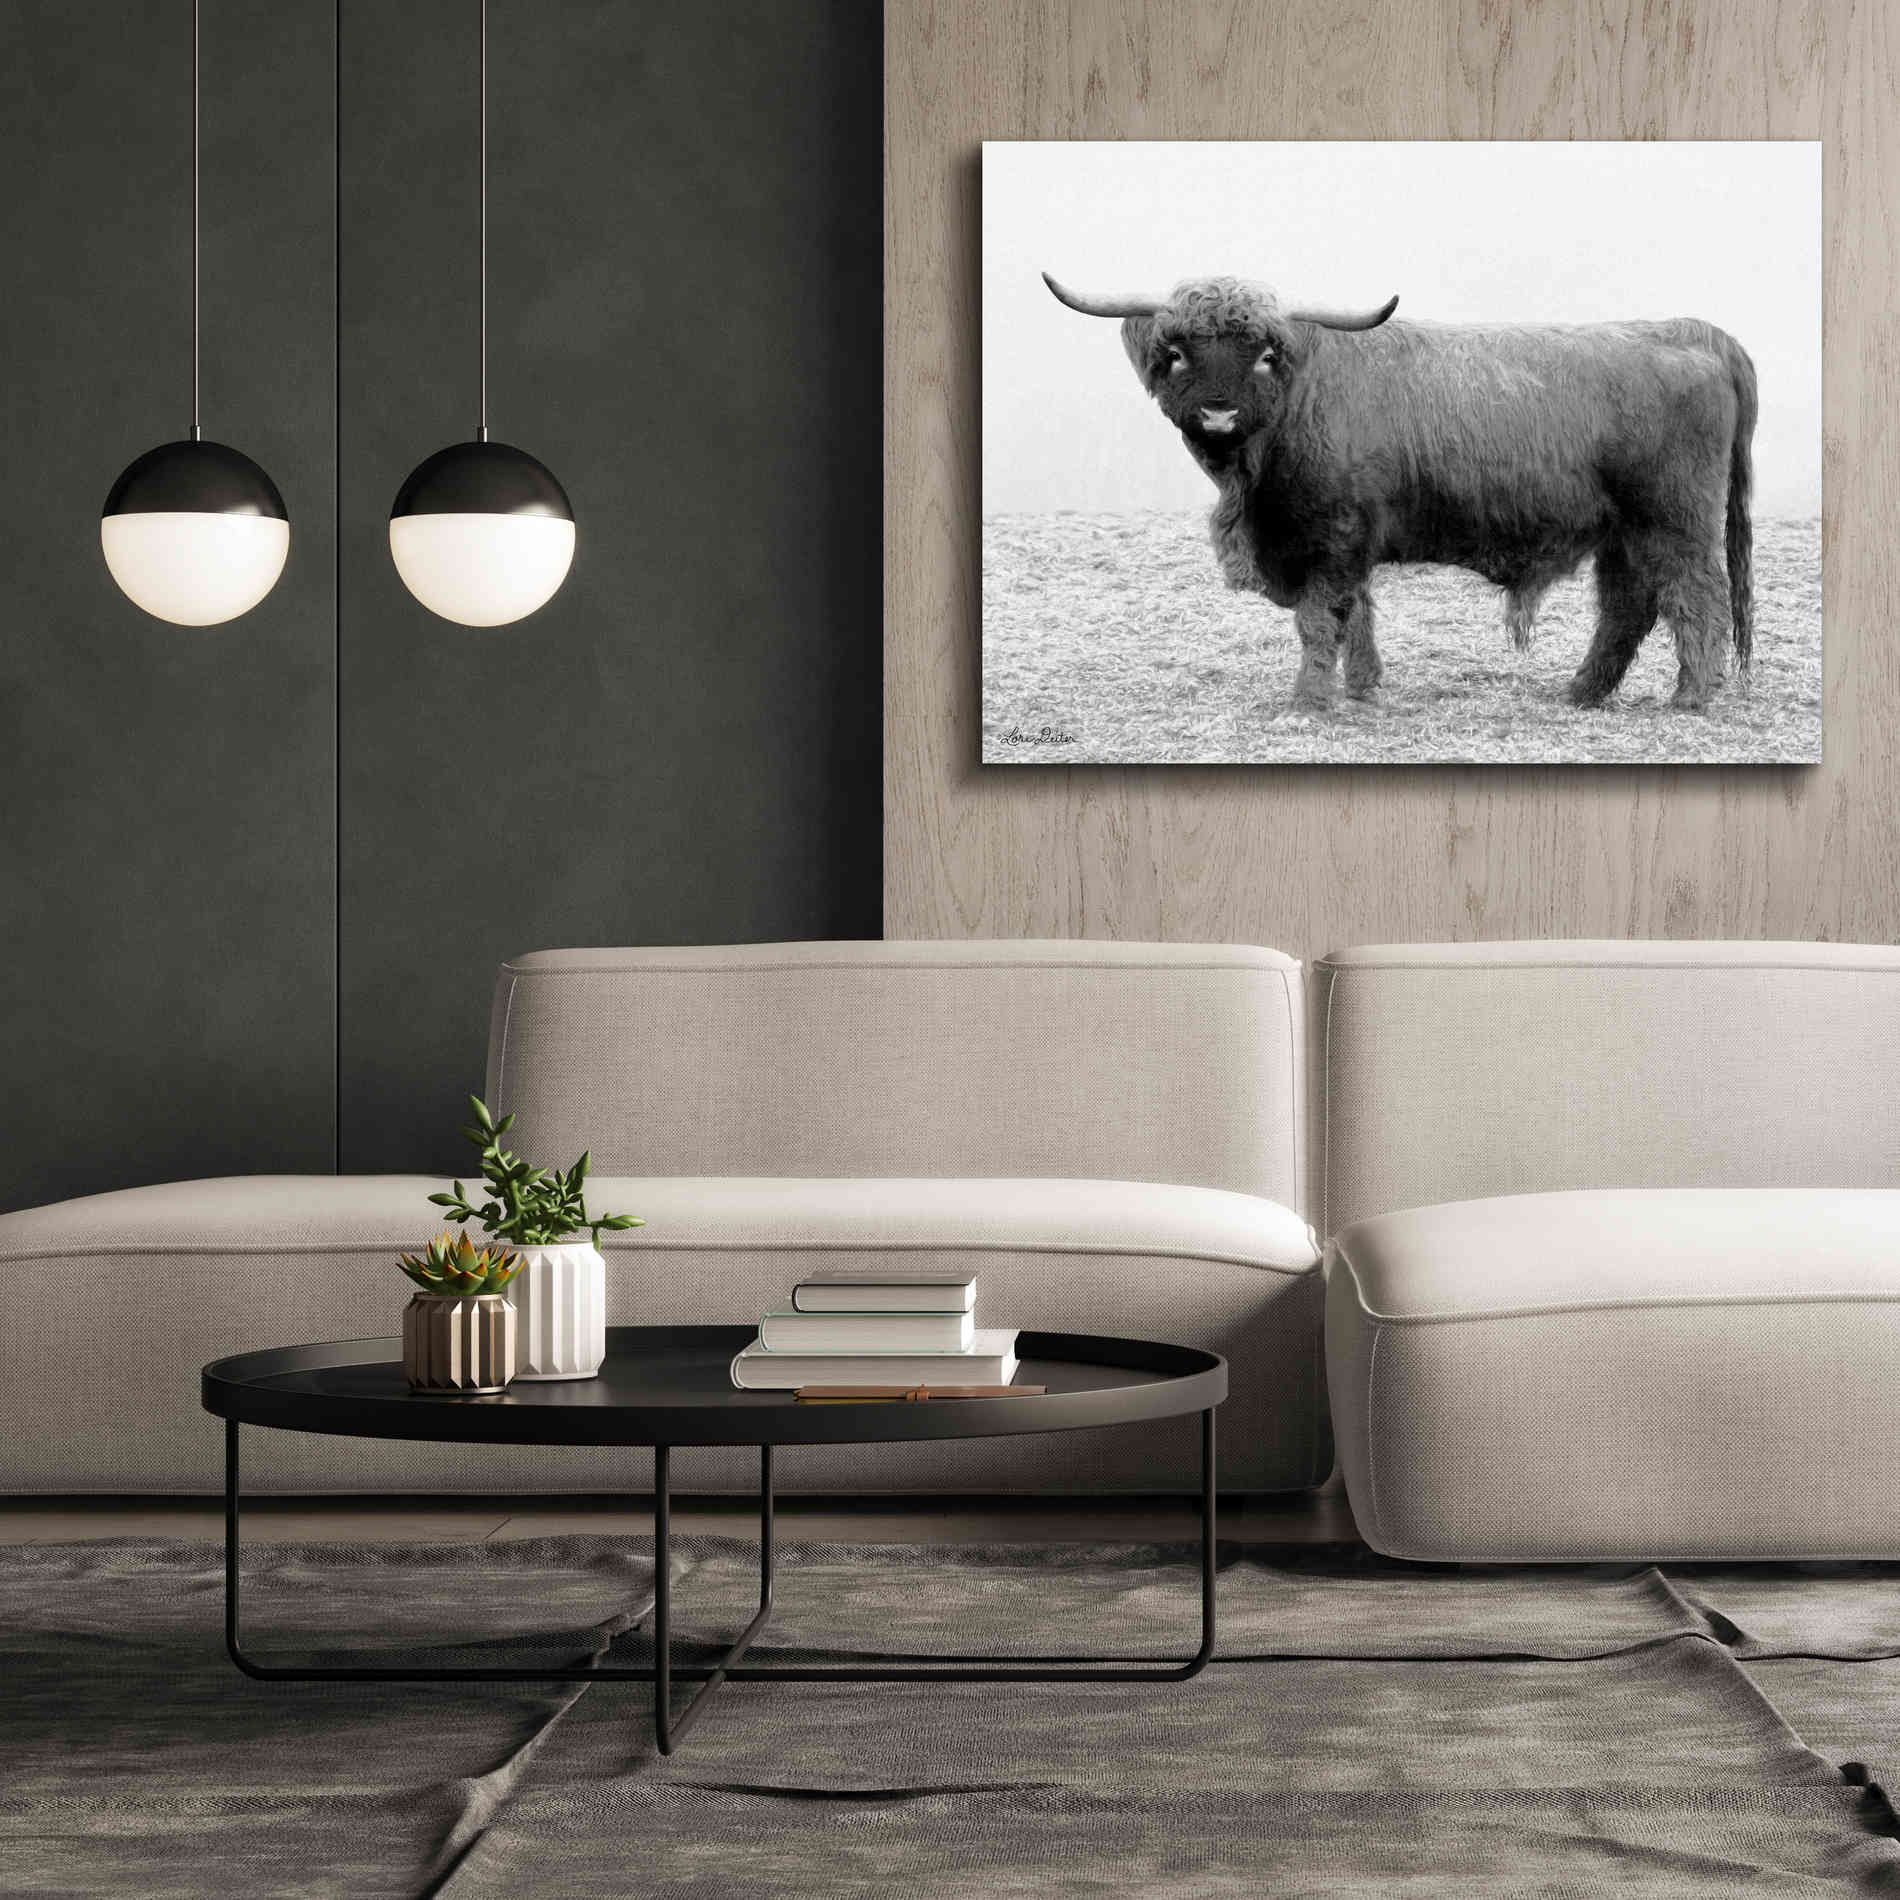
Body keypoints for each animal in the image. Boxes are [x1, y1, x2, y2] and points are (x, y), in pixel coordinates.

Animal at [1043, 273, 1757, 713]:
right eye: (1179, 353)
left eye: (1266, 355)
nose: (1218, 414)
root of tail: (1689, 330)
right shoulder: (1350, 541)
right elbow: (1357, 614)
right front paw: (1363, 689)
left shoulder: (1329, 538)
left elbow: (1320, 619)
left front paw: (1310, 701)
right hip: (1623, 532)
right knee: (1627, 607)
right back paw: (1582, 693)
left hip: (1674, 520)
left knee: (1697, 597)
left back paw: (1691, 697)